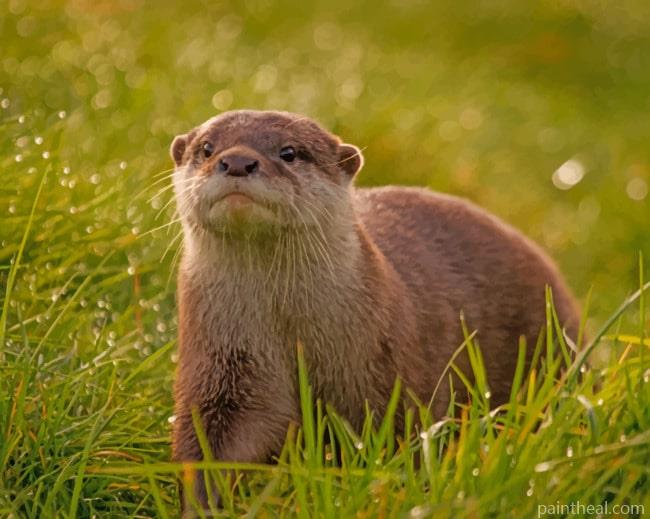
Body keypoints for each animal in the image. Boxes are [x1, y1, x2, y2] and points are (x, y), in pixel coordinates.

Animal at [169, 110, 579, 510]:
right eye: (207, 148)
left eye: (289, 152)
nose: (237, 161)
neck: (290, 330)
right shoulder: (223, 366)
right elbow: (212, 440)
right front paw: (203, 503)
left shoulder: (389, 375)